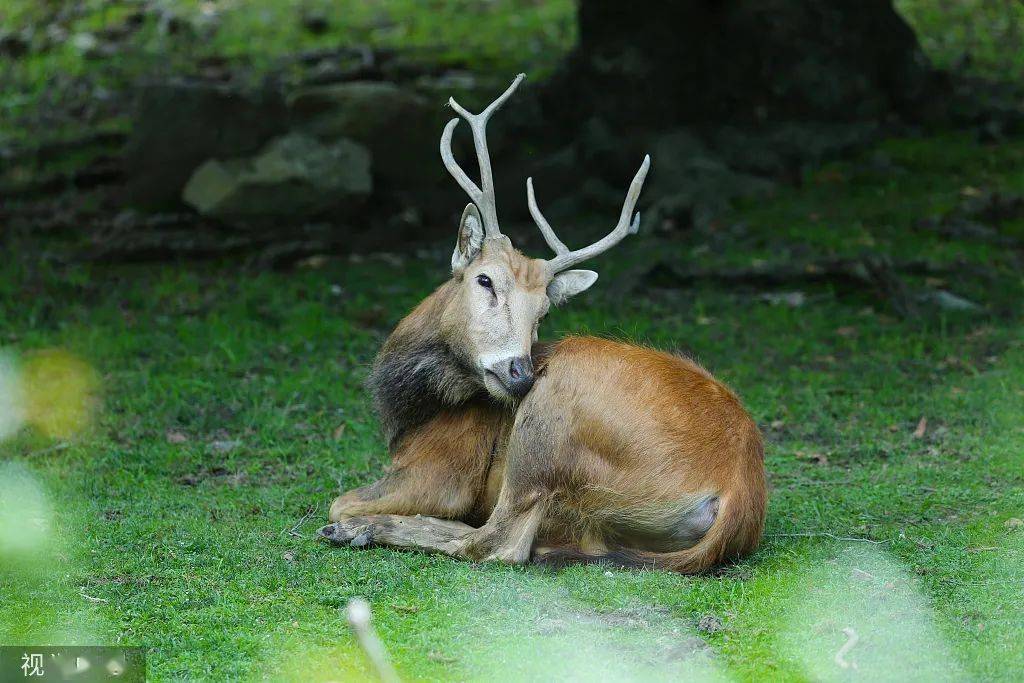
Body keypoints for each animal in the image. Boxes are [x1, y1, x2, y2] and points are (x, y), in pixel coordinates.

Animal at [321, 73, 770, 573]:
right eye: (485, 279)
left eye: (543, 312)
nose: (520, 373)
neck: (409, 414)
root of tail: (736, 494)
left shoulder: (440, 470)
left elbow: (340, 501)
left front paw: (352, 523)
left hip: (546, 425)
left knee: (498, 543)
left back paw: (362, 531)